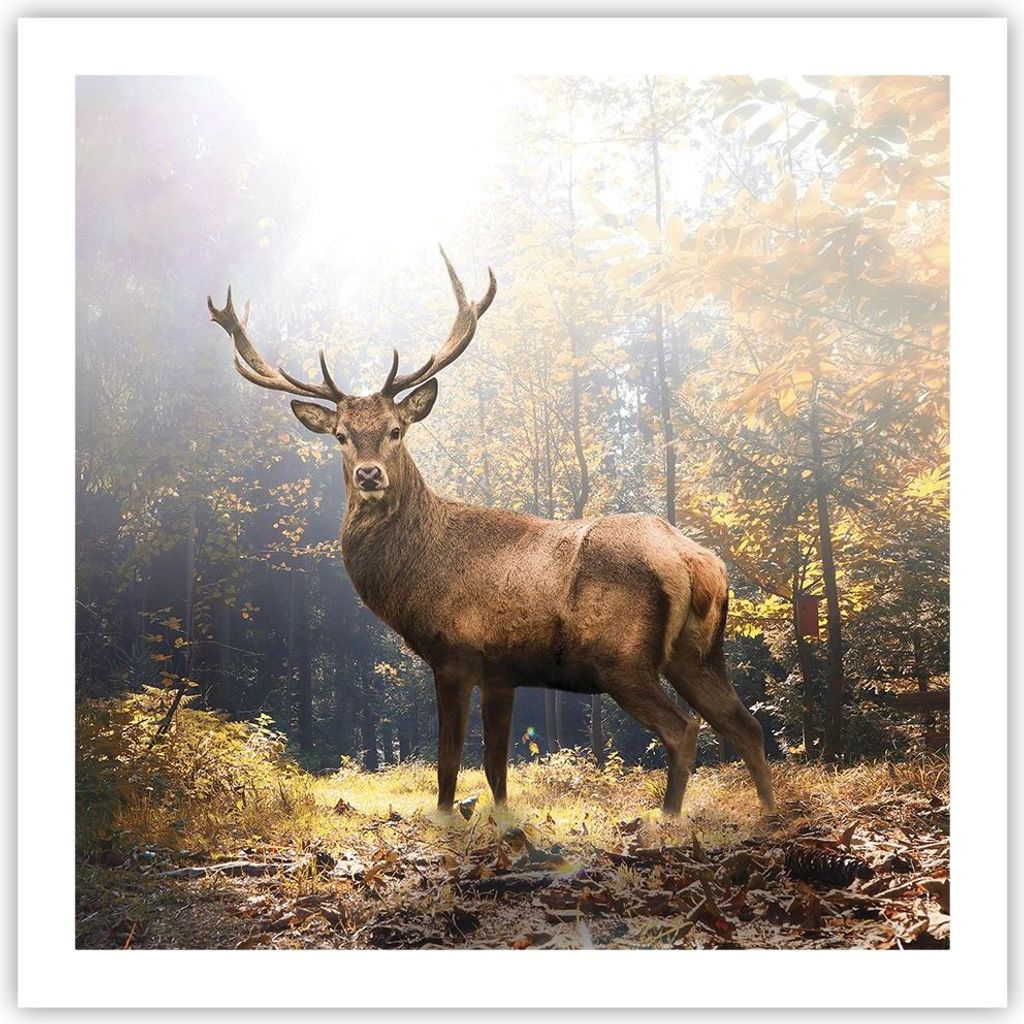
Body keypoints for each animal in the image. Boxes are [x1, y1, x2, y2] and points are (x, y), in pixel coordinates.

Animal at [207, 249, 776, 817]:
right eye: (342, 436)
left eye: (396, 430)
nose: (370, 475)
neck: (415, 576)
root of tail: (695, 560)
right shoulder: (503, 670)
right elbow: (497, 767)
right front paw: (501, 820)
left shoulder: (454, 653)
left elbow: (448, 761)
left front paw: (445, 820)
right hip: (698, 652)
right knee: (747, 724)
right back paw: (768, 813)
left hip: (622, 656)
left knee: (685, 729)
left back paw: (667, 818)